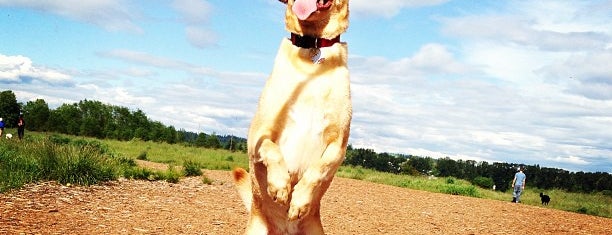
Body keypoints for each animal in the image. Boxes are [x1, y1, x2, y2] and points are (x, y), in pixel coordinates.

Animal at [232, 0, 352, 234]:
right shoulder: (258, 135)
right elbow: (272, 150)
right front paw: (279, 185)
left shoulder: (339, 144)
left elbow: (318, 170)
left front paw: (299, 201)